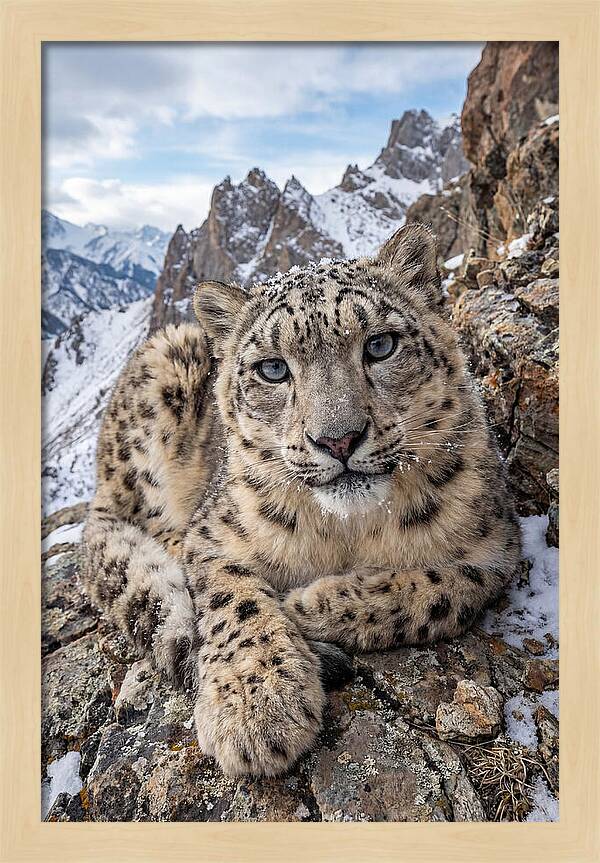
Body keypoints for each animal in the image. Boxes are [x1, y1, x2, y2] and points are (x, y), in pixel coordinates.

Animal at [82, 223, 521, 778]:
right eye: (273, 369)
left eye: (380, 344)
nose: (338, 439)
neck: (348, 531)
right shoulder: (214, 535)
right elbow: (234, 600)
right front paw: (256, 707)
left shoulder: (496, 547)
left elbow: (438, 590)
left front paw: (308, 605)